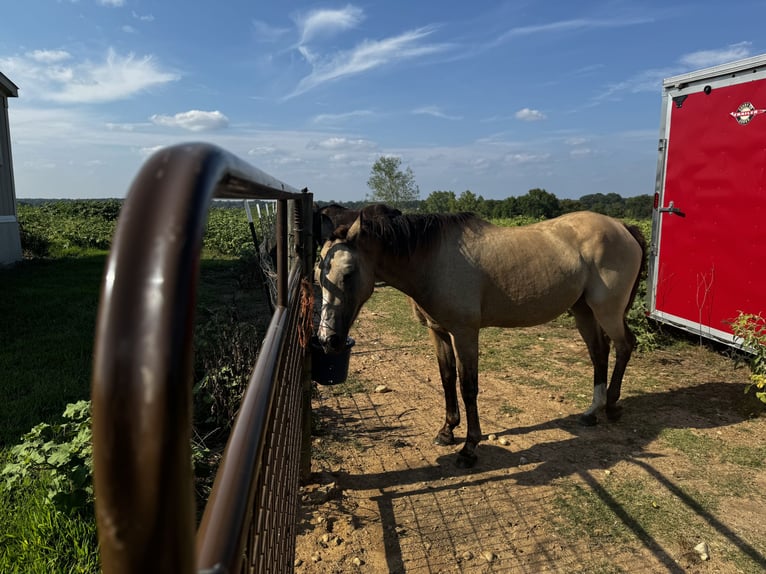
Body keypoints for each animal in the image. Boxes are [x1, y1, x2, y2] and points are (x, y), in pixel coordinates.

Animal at [316, 205, 648, 470]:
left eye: (348, 273)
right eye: (320, 274)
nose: (328, 340)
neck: (433, 260)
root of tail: (623, 227)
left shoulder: (465, 334)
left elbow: (468, 387)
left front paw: (469, 448)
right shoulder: (439, 332)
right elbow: (447, 378)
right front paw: (447, 431)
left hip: (606, 310)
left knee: (624, 345)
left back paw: (612, 406)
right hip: (583, 311)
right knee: (599, 351)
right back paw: (592, 411)